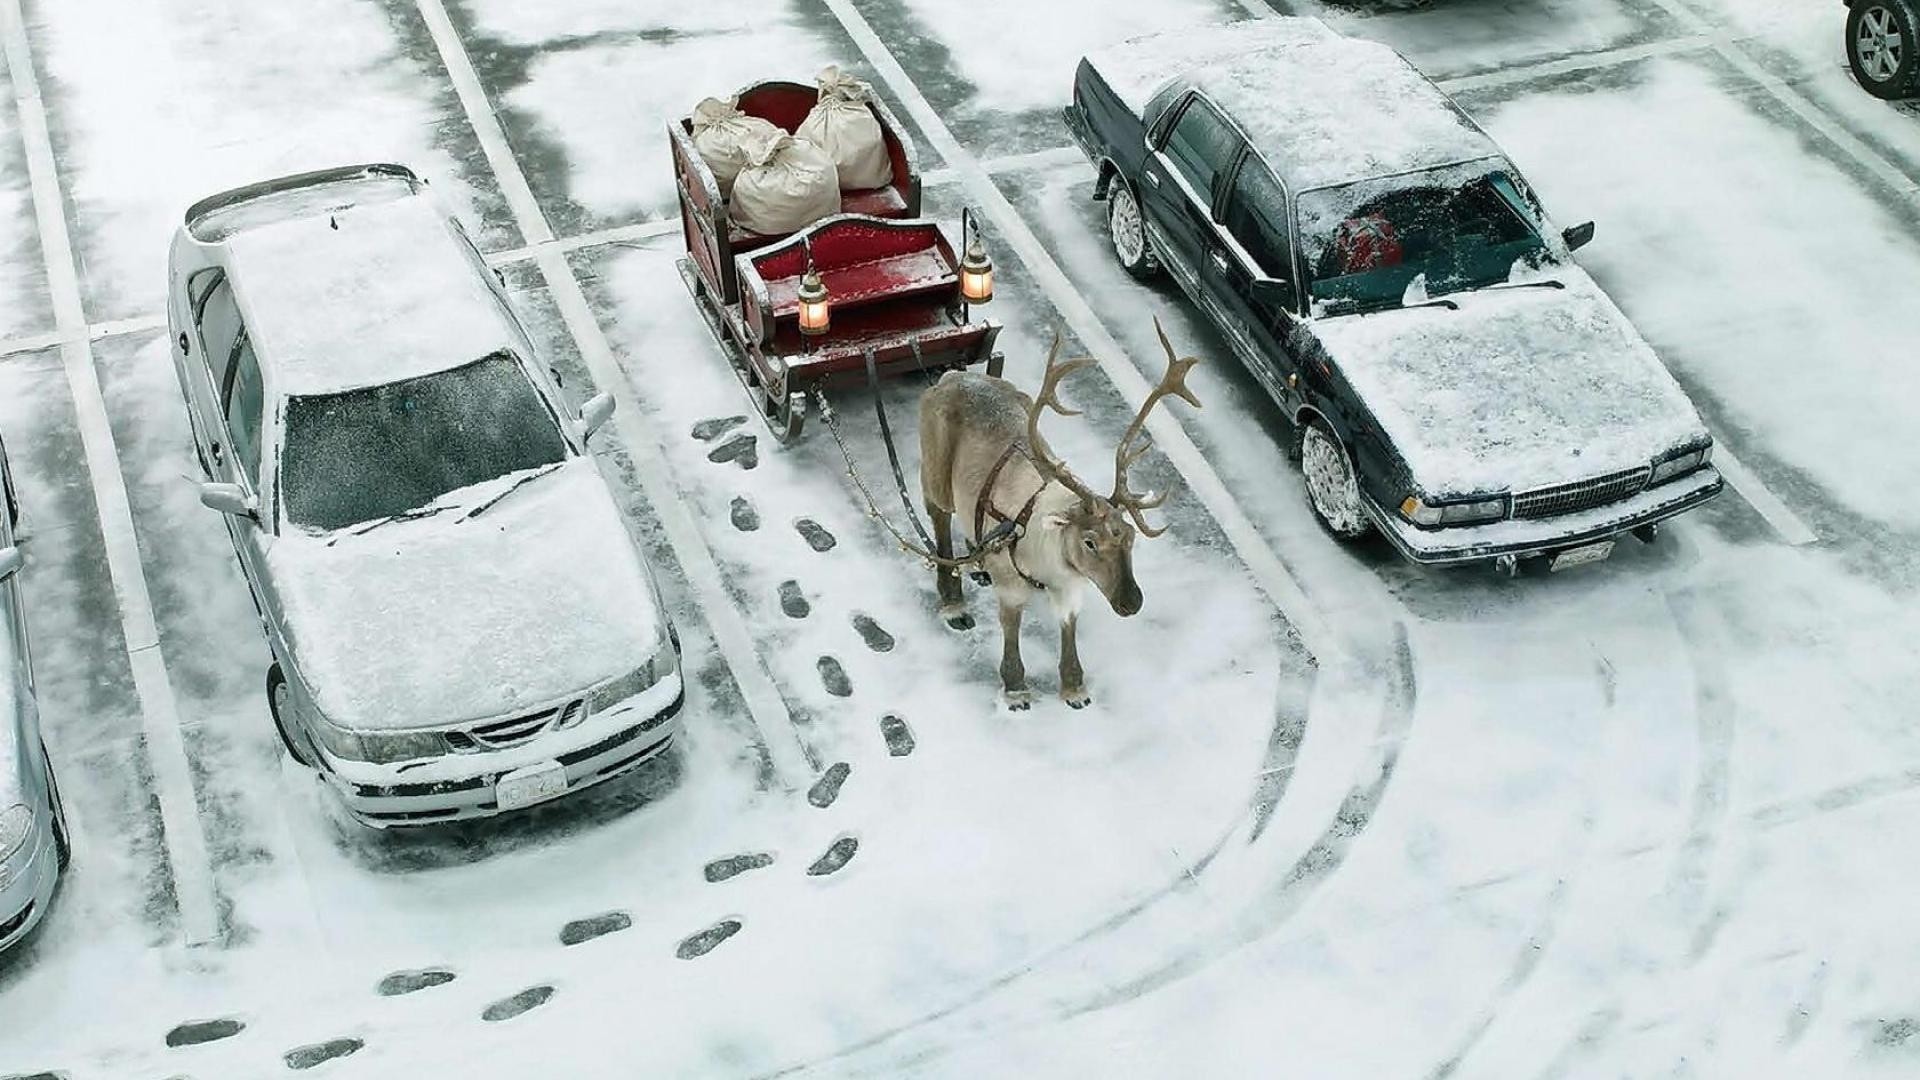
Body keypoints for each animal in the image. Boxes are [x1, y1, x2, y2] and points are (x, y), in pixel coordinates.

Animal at [918, 319, 1201, 710]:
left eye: (1130, 538)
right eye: (1090, 541)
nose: (1132, 602)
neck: (1048, 565)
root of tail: (951, 377)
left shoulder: (1070, 589)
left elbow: (1069, 631)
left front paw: (1074, 688)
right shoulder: (1011, 588)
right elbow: (1011, 633)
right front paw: (1015, 689)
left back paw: (976, 559)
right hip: (935, 473)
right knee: (939, 518)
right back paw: (953, 601)